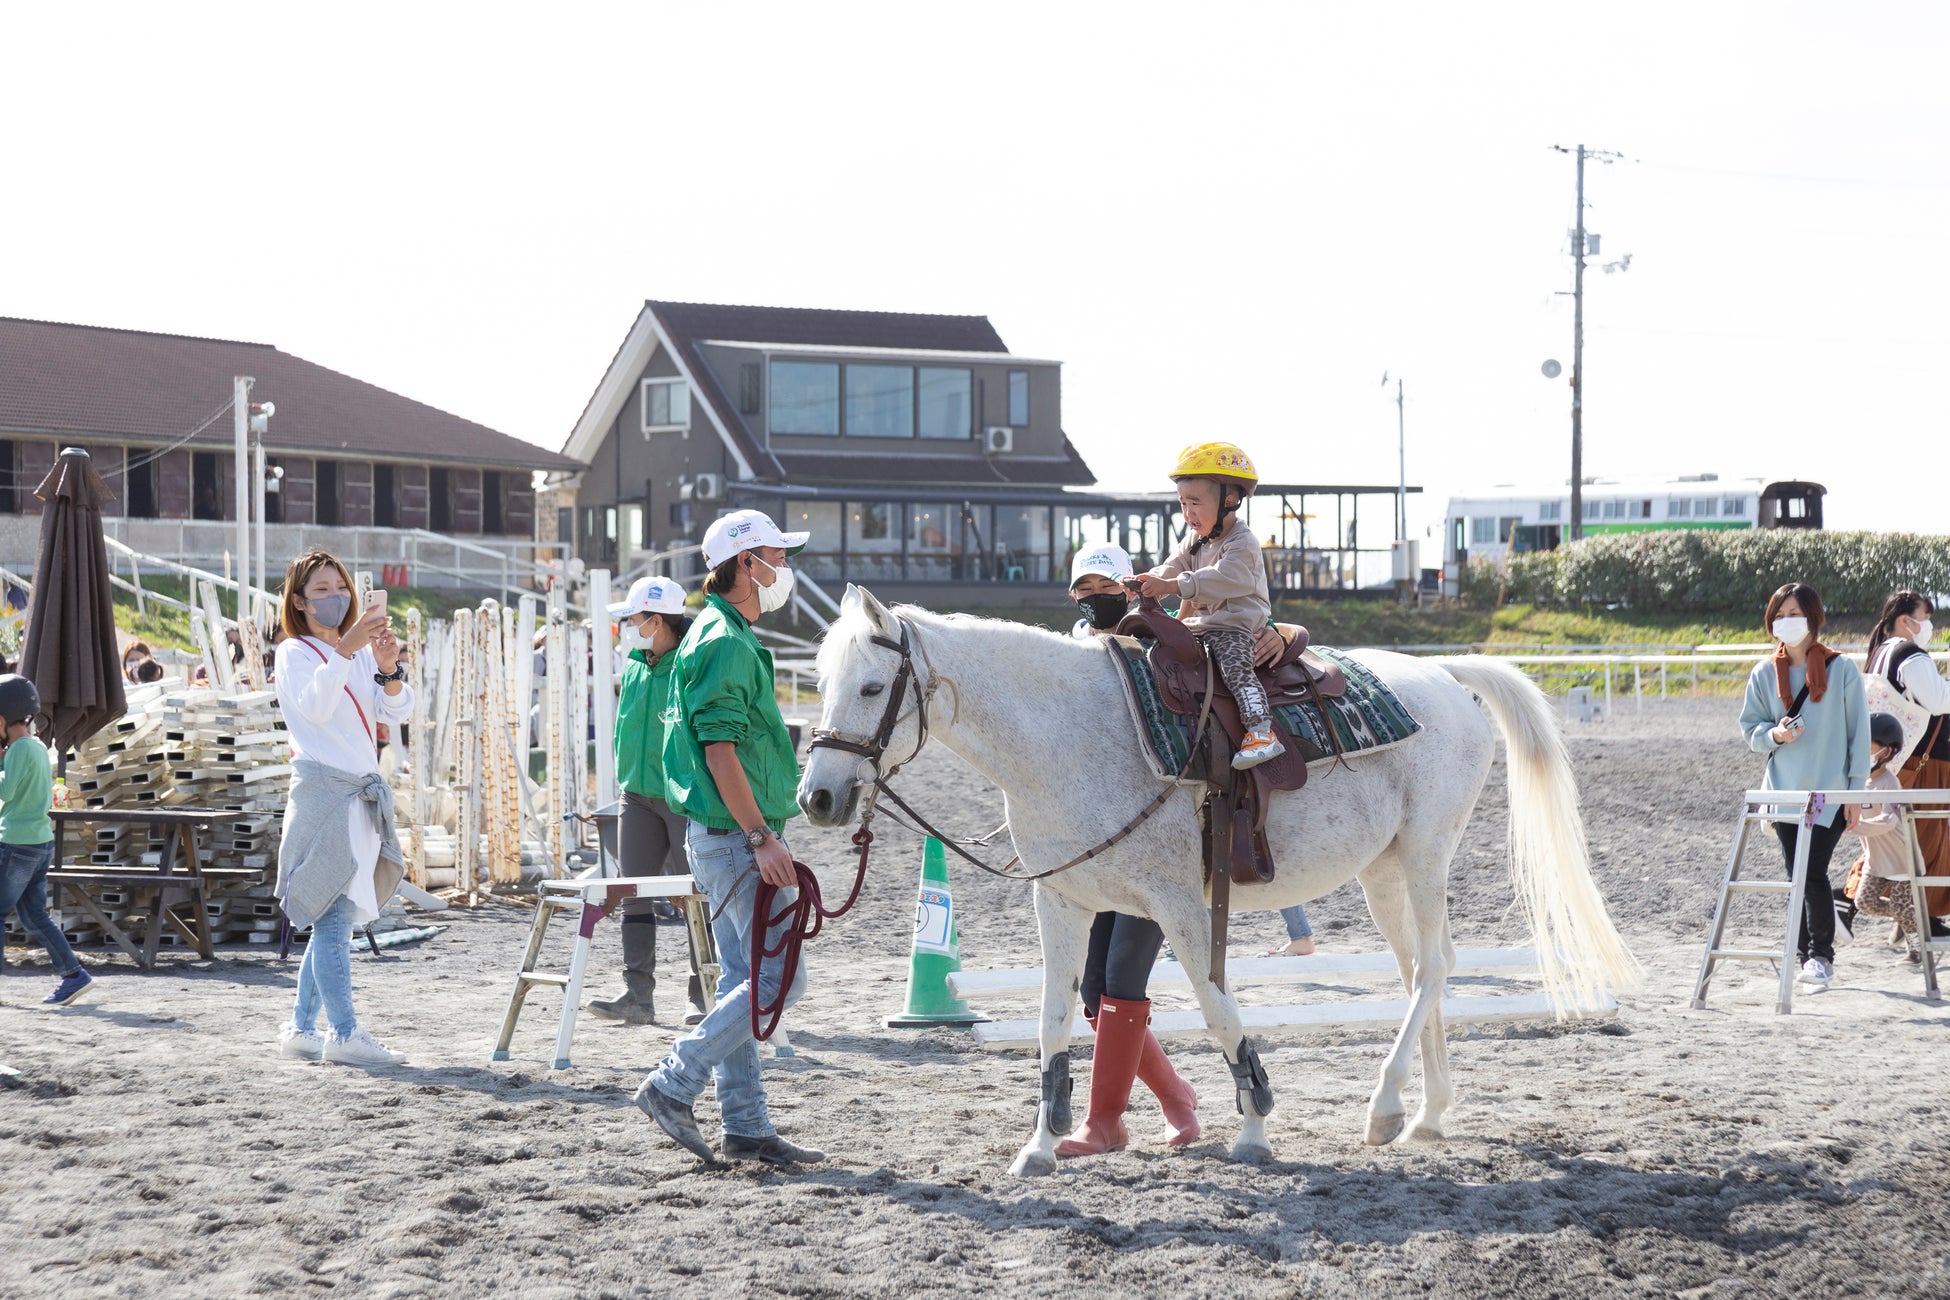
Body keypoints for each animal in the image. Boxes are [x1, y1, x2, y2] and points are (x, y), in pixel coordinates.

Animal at [791, 588, 1630, 1177]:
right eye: (823, 681)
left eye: (872, 688)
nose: (818, 797)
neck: (1070, 737)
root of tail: (1443, 674)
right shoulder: (1060, 898)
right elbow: (1056, 1022)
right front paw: (1042, 1145)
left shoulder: (1176, 905)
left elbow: (1218, 1011)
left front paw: (1253, 1126)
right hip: (1383, 872)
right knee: (1424, 969)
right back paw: (1425, 1114)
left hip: (1425, 856)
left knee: (1433, 969)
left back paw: (1388, 1105)